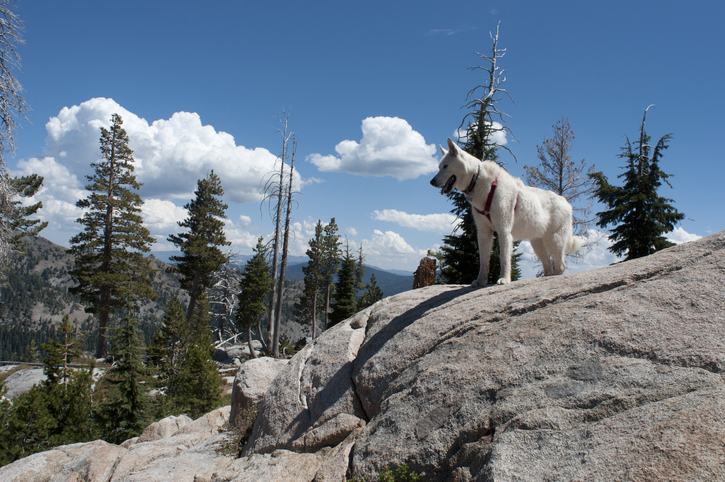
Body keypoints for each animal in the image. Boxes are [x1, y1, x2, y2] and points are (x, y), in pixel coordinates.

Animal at [430, 137, 584, 284]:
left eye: (445, 166)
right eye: (439, 167)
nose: (431, 182)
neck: (480, 182)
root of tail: (566, 202)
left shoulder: (503, 231)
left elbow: (504, 258)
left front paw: (504, 279)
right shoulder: (483, 233)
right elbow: (483, 261)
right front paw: (481, 281)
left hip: (554, 242)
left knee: (560, 266)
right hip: (537, 244)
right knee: (548, 267)